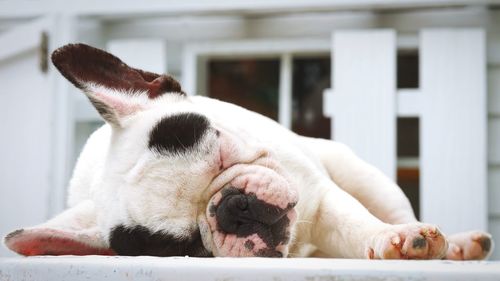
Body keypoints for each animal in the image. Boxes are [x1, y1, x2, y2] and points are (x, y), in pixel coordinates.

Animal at [2, 44, 496, 260]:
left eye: (223, 153)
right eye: (188, 248)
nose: (233, 210)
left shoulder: (319, 192)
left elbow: (357, 224)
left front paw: (390, 240)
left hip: (363, 175)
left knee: (392, 208)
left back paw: (453, 244)